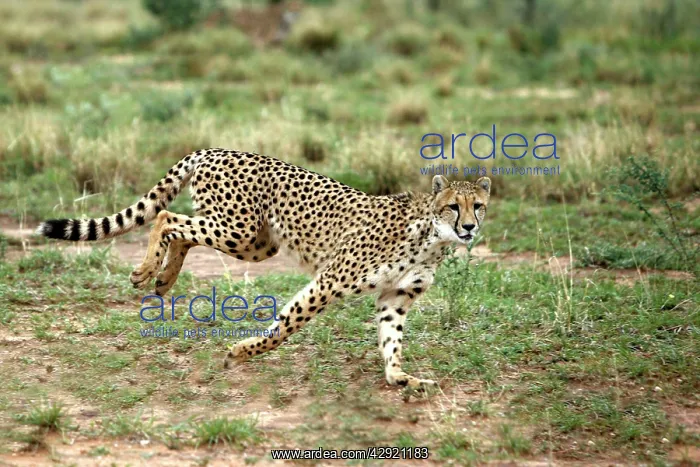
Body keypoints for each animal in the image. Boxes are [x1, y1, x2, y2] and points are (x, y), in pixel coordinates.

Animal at [38, 149, 492, 389]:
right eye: (454, 206)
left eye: (479, 206)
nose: (470, 227)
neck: (433, 238)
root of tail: (215, 149)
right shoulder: (330, 280)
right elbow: (287, 325)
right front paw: (242, 352)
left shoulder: (395, 296)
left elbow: (391, 340)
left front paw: (400, 377)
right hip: (239, 230)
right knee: (168, 216)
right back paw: (147, 270)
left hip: (256, 242)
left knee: (182, 230)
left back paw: (163, 279)